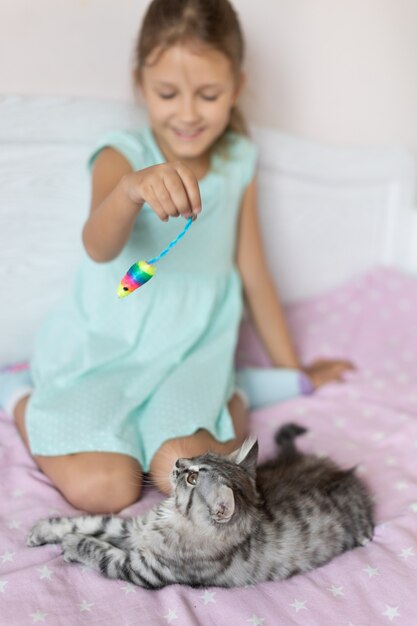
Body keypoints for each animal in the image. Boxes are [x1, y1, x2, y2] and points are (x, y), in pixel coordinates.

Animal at [27, 422, 376, 588]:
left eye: (193, 477)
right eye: (199, 456)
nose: (179, 462)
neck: (172, 519)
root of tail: (339, 471)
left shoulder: (142, 570)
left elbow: (98, 548)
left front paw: (72, 545)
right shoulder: (130, 527)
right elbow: (88, 521)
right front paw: (43, 530)